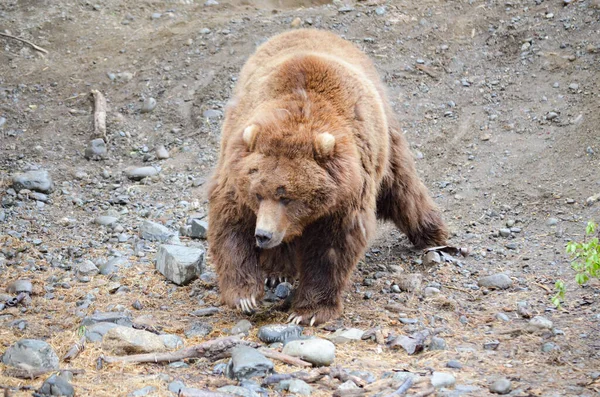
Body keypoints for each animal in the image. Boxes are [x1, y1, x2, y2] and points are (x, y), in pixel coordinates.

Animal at [206, 28, 446, 324]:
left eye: (287, 197)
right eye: (258, 193)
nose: (263, 235)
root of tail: (311, 29)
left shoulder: (345, 194)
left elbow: (331, 247)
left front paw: (308, 311)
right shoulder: (236, 168)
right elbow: (231, 224)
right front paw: (246, 296)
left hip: (386, 140)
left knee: (402, 185)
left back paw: (433, 234)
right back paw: (277, 271)